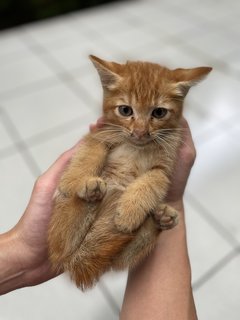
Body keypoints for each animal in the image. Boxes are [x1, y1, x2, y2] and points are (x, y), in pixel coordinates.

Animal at [47, 55, 211, 290]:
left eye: (159, 112)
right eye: (125, 110)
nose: (140, 132)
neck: (137, 147)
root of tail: (73, 264)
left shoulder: (164, 167)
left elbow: (153, 179)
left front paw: (129, 211)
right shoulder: (98, 136)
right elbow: (90, 152)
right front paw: (73, 180)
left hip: (117, 255)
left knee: (125, 255)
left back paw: (160, 219)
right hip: (62, 235)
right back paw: (90, 191)